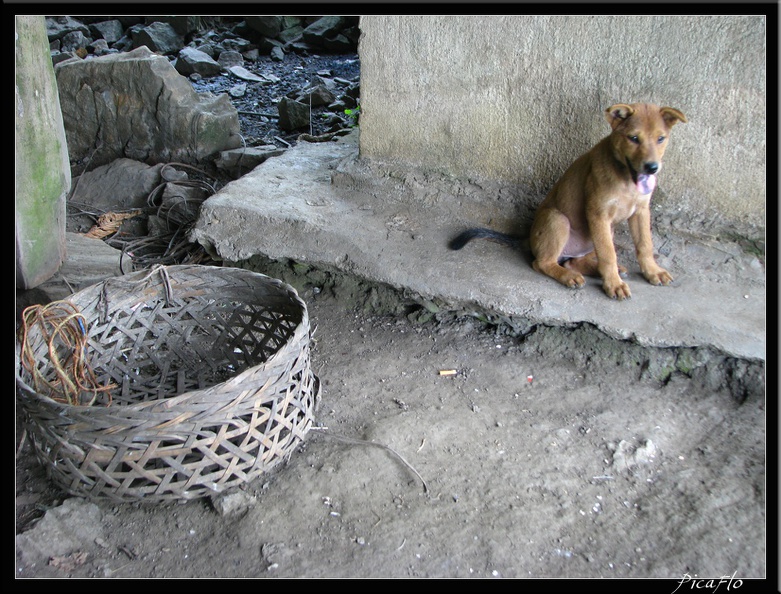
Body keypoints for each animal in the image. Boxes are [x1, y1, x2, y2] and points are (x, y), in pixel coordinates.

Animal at [448, 103, 684, 300]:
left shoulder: (641, 211)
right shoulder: (598, 213)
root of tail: (528, 239)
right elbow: (608, 254)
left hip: (603, 232)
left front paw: (653, 272)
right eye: (633, 138)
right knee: (543, 262)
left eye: (661, 138)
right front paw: (613, 284)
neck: (625, 178)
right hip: (558, 219)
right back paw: (570, 276)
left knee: (574, 261)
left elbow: (644, 244)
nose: (652, 168)